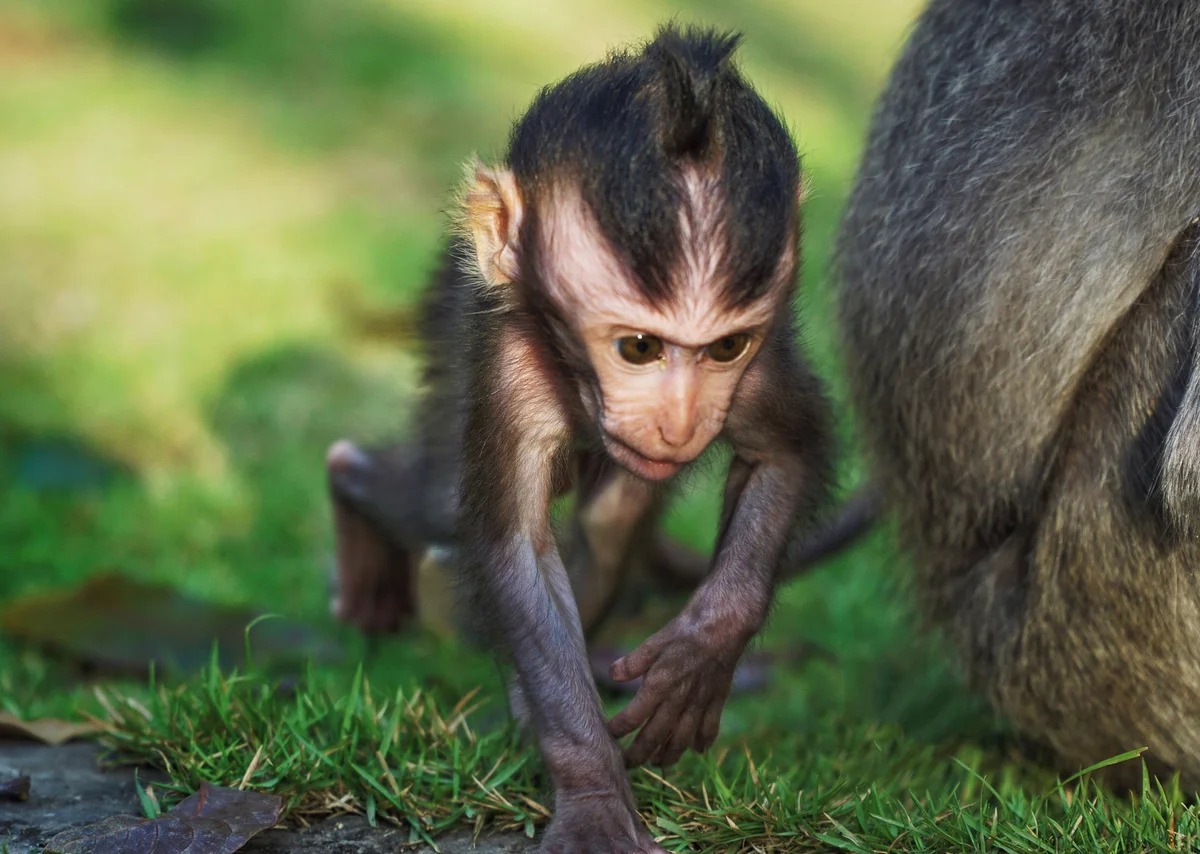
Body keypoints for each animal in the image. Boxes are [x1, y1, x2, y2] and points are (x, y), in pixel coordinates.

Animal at [329, 24, 834, 852]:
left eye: (725, 348)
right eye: (638, 348)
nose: (679, 423)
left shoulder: (757, 370)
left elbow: (784, 453)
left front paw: (699, 656)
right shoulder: (508, 366)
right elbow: (515, 551)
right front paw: (593, 793)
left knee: (611, 519)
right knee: (432, 500)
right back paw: (355, 499)